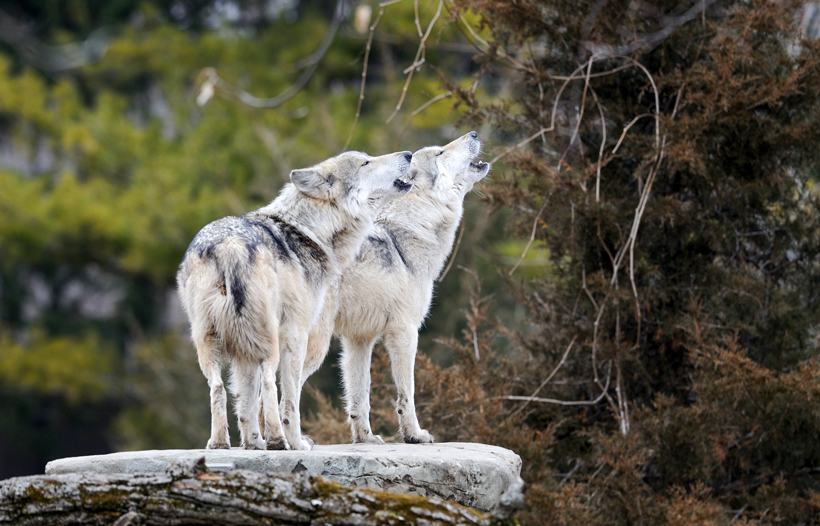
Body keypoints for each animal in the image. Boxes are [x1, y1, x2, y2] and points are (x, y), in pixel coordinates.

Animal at [177, 150, 414, 454]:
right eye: (366, 162)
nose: (408, 154)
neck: (310, 231)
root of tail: (230, 246)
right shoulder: (297, 333)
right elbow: (289, 399)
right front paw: (295, 441)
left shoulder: (243, 352)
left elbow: (246, 403)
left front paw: (253, 443)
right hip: (270, 341)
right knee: (269, 383)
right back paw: (279, 441)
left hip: (211, 343)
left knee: (218, 388)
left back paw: (220, 444)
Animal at [302, 132, 490, 446]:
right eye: (440, 153)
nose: (474, 133)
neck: (411, 230)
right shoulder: (405, 332)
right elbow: (407, 393)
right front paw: (414, 434)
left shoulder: (359, 341)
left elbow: (360, 396)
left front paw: (365, 439)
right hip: (314, 345)